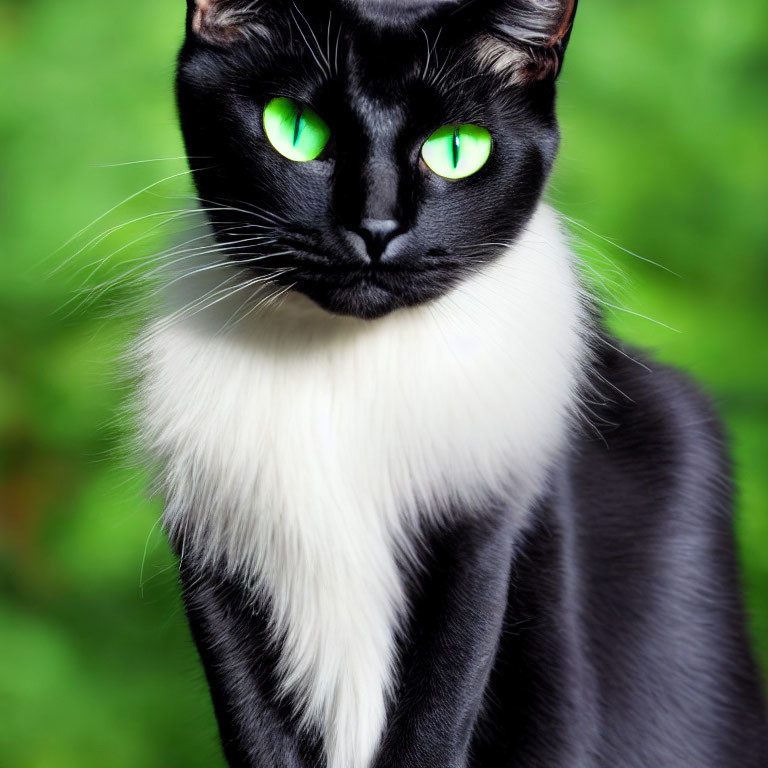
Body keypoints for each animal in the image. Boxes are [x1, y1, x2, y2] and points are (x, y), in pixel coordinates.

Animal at [136, 0, 768, 764]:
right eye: (295, 130)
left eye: (457, 150)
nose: (376, 227)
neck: (344, 373)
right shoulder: (214, 554)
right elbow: (257, 726)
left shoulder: (484, 537)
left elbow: (438, 712)